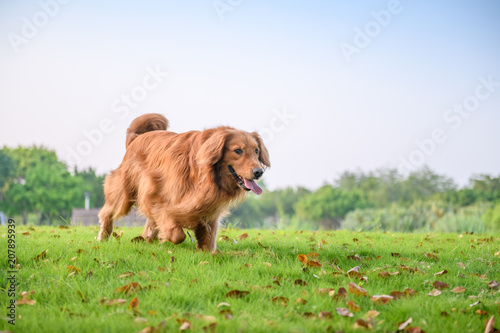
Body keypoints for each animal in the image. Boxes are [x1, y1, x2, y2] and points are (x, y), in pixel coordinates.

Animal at [97, 113, 270, 250]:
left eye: (256, 151)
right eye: (238, 151)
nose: (259, 172)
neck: (204, 175)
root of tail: (136, 138)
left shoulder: (209, 209)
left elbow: (208, 240)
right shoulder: (156, 193)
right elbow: (177, 233)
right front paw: (167, 236)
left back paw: (148, 238)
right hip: (125, 192)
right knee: (108, 212)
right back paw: (103, 237)